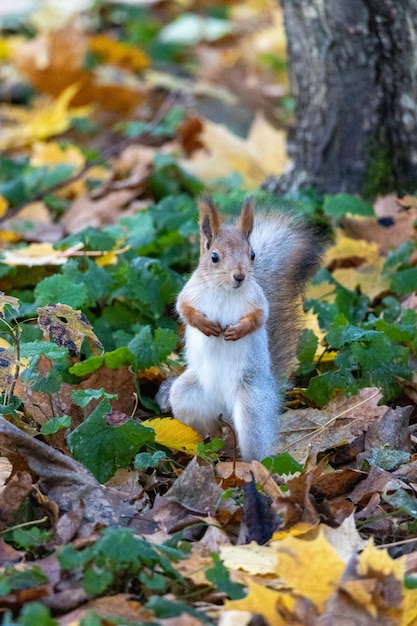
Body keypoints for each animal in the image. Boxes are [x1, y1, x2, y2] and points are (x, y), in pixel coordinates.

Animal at [167, 195, 324, 458]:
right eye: (214, 256)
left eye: (252, 254)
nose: (239, 276)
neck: (224, 290)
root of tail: (224, 405)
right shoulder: (189, 292)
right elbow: (183, 309)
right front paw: (205, 325)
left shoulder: (258, 301)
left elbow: (260, 318)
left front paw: (237, 331)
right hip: (186, 399)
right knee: (209, 426)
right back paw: (209, 446)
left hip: (252, 408)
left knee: (255, 448)